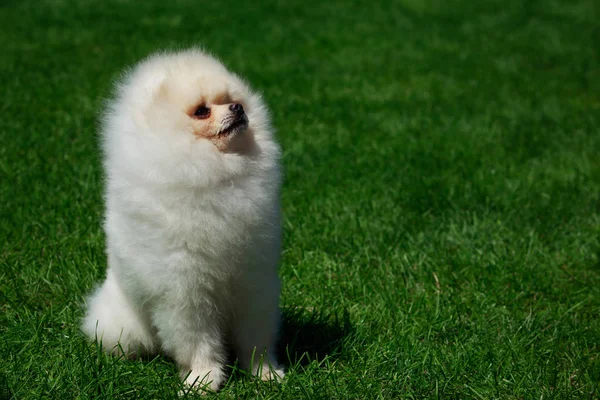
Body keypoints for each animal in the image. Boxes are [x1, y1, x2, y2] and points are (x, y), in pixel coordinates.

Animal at [82, 48, 286, 392]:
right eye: (202, 111)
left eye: (232, 100)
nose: (237, 108)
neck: (214, 173)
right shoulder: (185, 291)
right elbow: (198, 341)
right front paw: (203, 379)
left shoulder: (252, 279)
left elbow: (255, 336)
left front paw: (265, 372)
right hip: (122, 323)